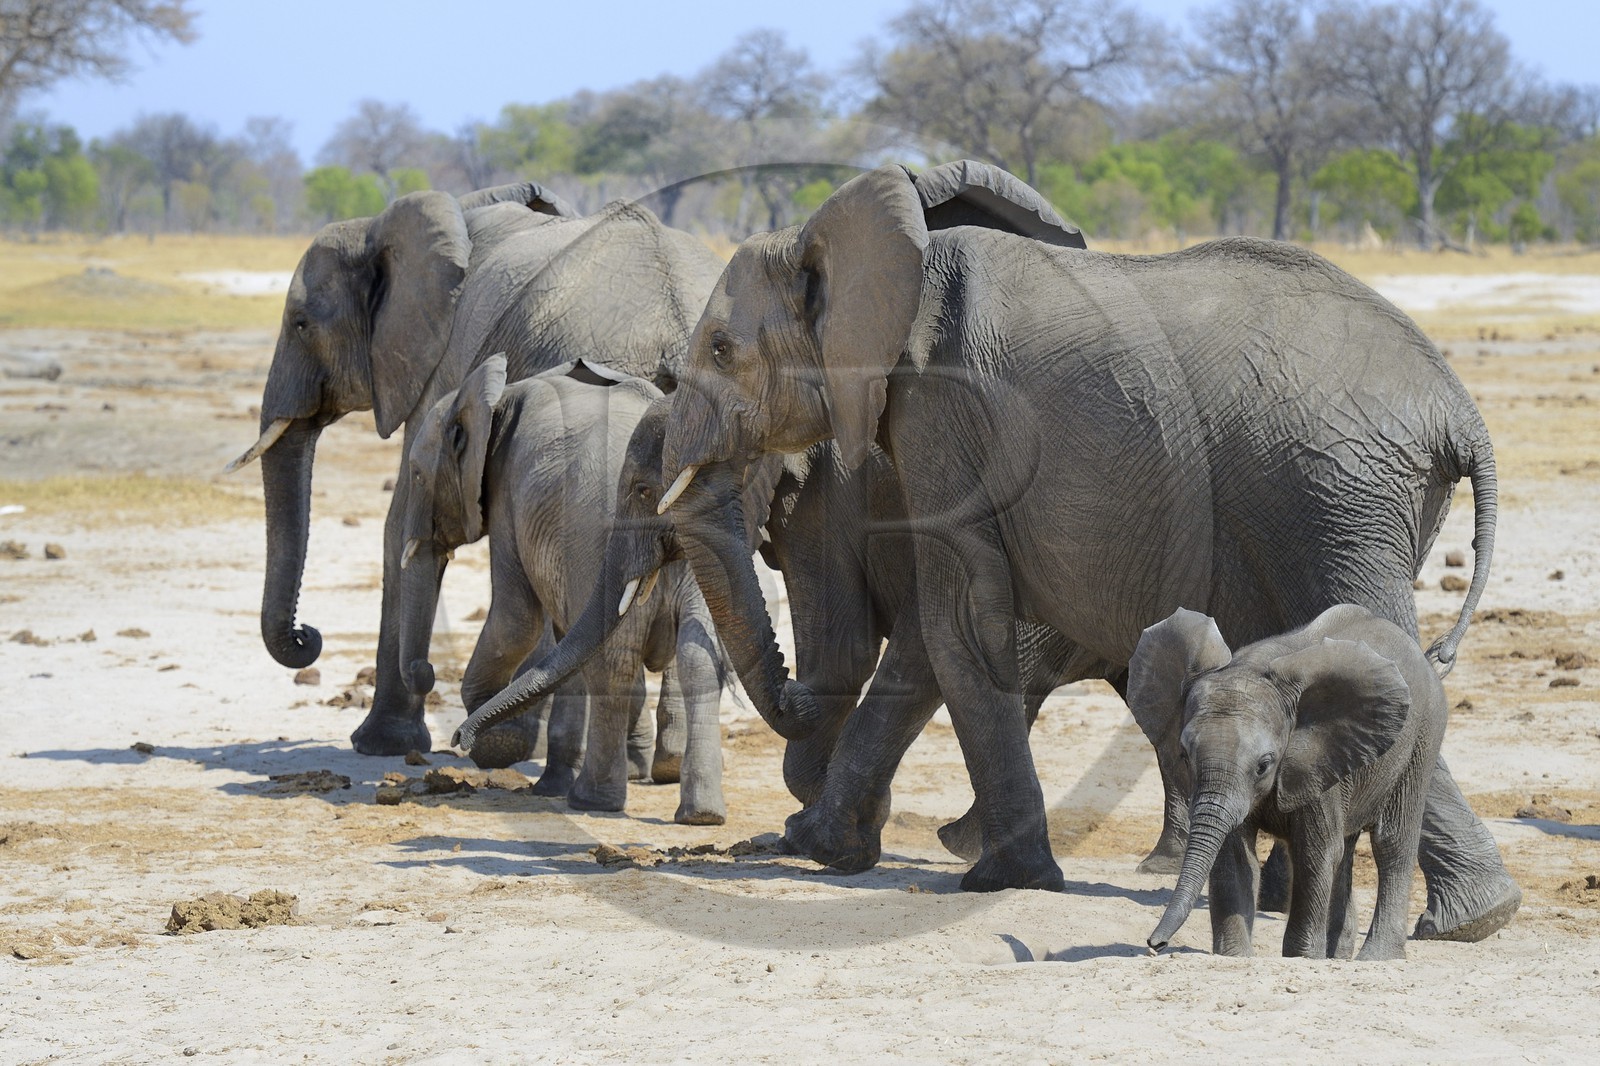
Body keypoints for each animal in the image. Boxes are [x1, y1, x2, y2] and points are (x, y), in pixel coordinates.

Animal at [225, 181, 724, 762]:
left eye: (301, 324)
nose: (308, 636)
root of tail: (678, 325)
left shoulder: (440, 366)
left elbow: (399, 526)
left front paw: (380, 745)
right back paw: (658, 763)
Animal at [401, 356, 726, 822]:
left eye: (415, 474)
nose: (423, 672)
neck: (501, 394)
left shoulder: (508, 496)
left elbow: (517, 620)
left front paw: (500, 745)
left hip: (596, 536)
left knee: (610, 665)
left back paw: (591, 800)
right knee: (696, 655)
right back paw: (696, 808)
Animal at [1134, 605, 1447, 961]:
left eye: (1264, 765)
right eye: (1184, 756)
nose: (1155, 945)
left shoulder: (1317, 759)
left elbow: (1315, 853)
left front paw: (1302, 959)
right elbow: (1234, 855)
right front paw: (1235, 957)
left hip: (1424, 736)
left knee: (1392, 844)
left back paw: (1377, 958)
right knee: (1347, 850)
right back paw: (1337, 957)